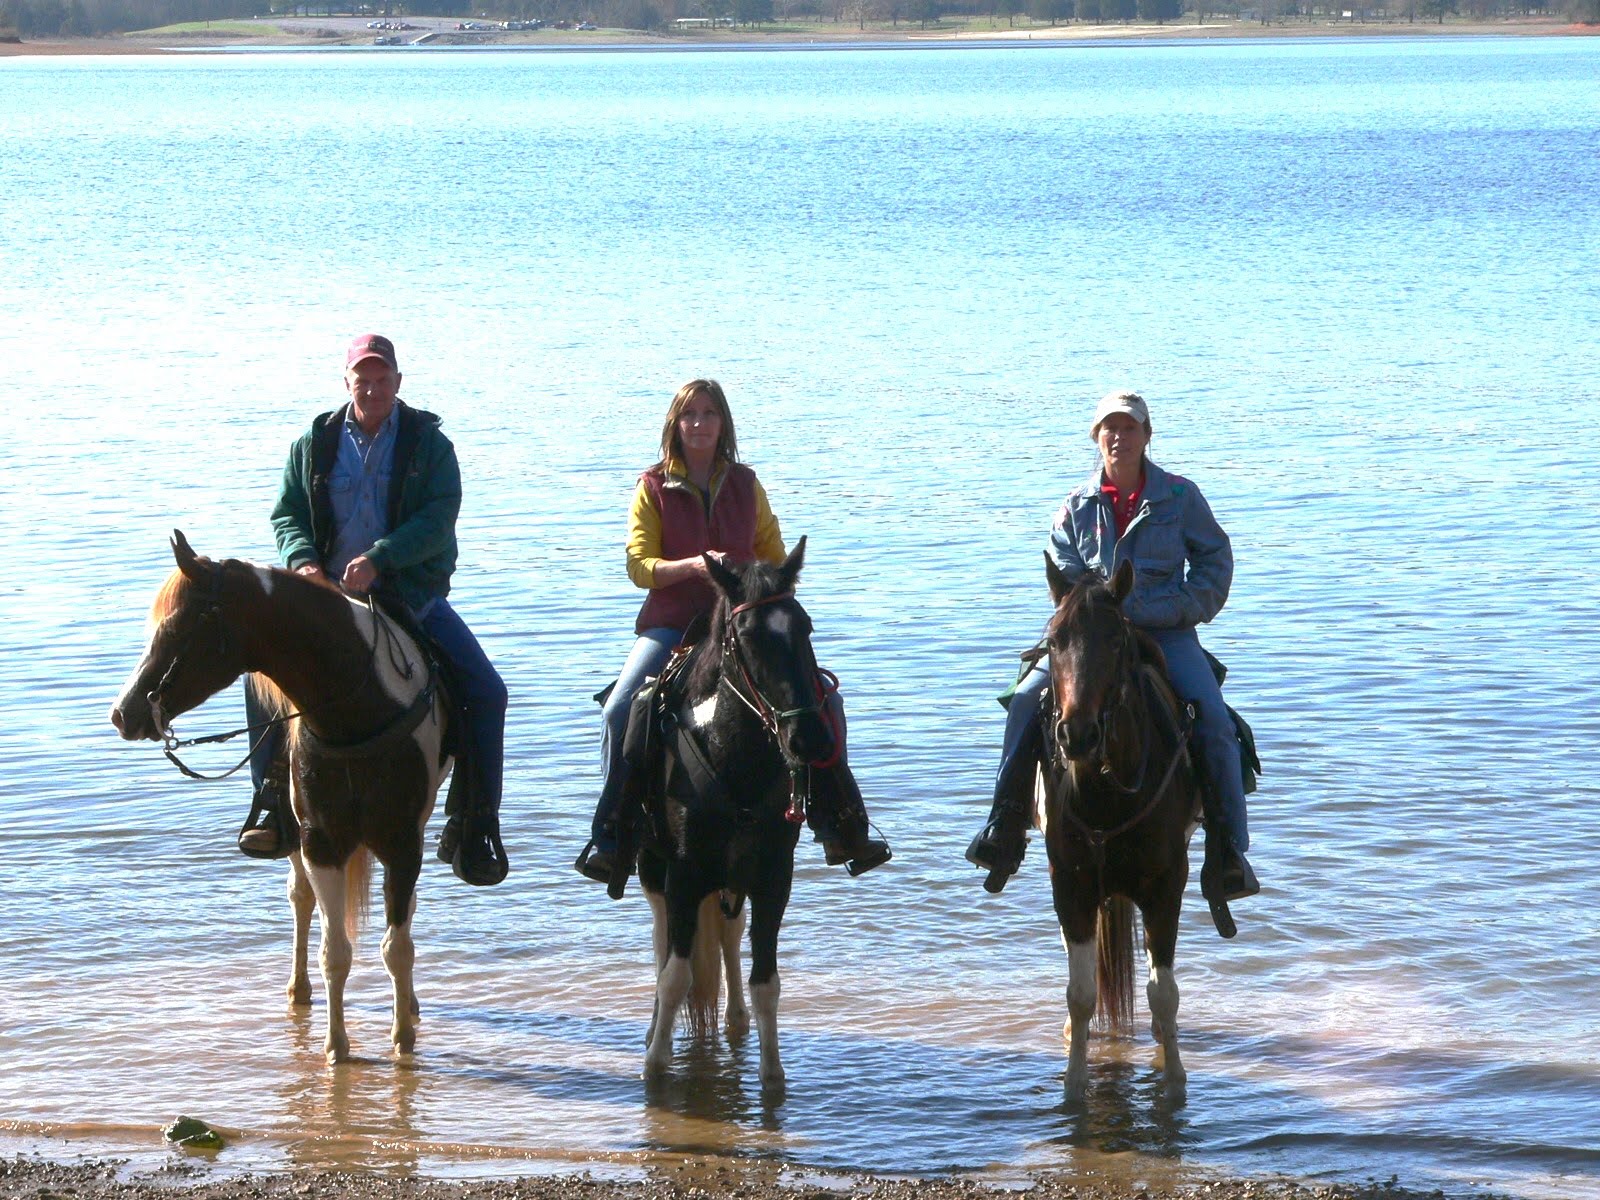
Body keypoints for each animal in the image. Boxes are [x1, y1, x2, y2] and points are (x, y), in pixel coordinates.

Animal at [110, 531, 451, 1068]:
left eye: (180, 626)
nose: (123, 713)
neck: (358, 710)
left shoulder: (402, 843)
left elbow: (396, 946)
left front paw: (402, 1040)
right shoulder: (320, 842)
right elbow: (335, 951)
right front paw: (336, 1047)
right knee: (300, 898)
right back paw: (298, 988)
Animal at [636, 544, 838, 1088]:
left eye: (805, 626)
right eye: (747, 637)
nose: (809, 738)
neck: (734, 757)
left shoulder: (772, 877)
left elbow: (765, 980)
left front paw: (773, 1079)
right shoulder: (683, 874)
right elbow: (675, 975)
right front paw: (655, 1067)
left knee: (728, 933)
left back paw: (735, 1020)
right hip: (653, 868)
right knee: (662, 937)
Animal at [1036, 553, 1203, 1100]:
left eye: (1115, 639)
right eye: (1054, 641)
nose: (1077, 734)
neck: (1106, 792)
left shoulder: (1166, 885)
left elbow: (1163, 993)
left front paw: (1173, 1081)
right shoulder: (1069, 884)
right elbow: (1081, 991)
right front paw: (1073, 1084)